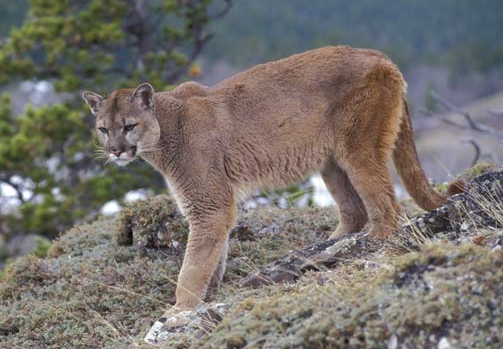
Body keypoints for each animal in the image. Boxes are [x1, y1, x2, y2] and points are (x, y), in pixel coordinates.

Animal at [83, 46, 464, 340]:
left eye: (129, 126)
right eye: (103, 129)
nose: (116, 150)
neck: (164, 132)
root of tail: (381, 56)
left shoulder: (209, 205)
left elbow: (192, 265)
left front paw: (179, 309)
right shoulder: (214, 207)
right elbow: (214, 255)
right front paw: (211, 294)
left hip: (358, 149)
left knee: (387, 206)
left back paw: (367, 244)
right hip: (330, 160)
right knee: (354, 210)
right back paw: (323, 249)